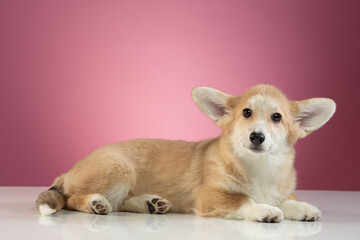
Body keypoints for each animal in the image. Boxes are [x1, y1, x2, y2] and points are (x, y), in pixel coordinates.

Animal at [35, 85, 334, 223]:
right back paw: (96, 203)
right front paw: (264, 209)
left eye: (276, 117)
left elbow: (287, 200)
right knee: (73, 198)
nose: (256, 137)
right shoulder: (212, 197)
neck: (258, 167)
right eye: (246, 113)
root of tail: (68, 172)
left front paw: (303, 208)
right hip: (119, 170)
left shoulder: (280, 190)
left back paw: (151, 203)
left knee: (121, 202)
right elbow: (244, 201)